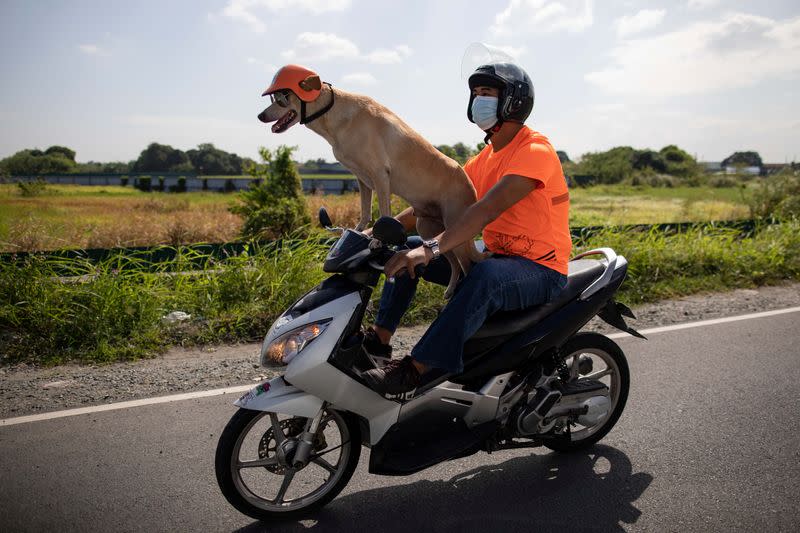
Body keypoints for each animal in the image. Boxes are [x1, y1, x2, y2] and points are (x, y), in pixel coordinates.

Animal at [258, 64, 482, 298]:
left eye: (282, 98)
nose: (260, 115)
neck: (335, 116)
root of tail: (470, 184)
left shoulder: (380, 175)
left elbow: (383, 214)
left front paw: (378, 240)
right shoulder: (363, 179)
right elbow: (365, 212)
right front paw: (358, 231)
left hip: (456, 230)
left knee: (467, 264)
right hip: (429, 229)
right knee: (451, 260)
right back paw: (449, 291)